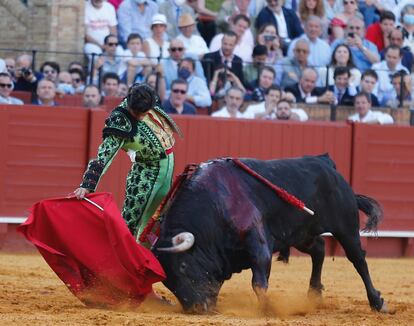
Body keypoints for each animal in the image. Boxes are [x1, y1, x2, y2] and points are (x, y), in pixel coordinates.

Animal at [153, 155, 388, 314]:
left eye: (183, 266)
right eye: (167, 282)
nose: (196, 308)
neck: (215, 205)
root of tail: (326, 163)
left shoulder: (257, 241)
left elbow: (258, 280)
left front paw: (267, 309)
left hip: (346, 228)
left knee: (358, 260)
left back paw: (377, 302)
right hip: (301, 234)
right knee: (319, 249)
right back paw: (314, 294)